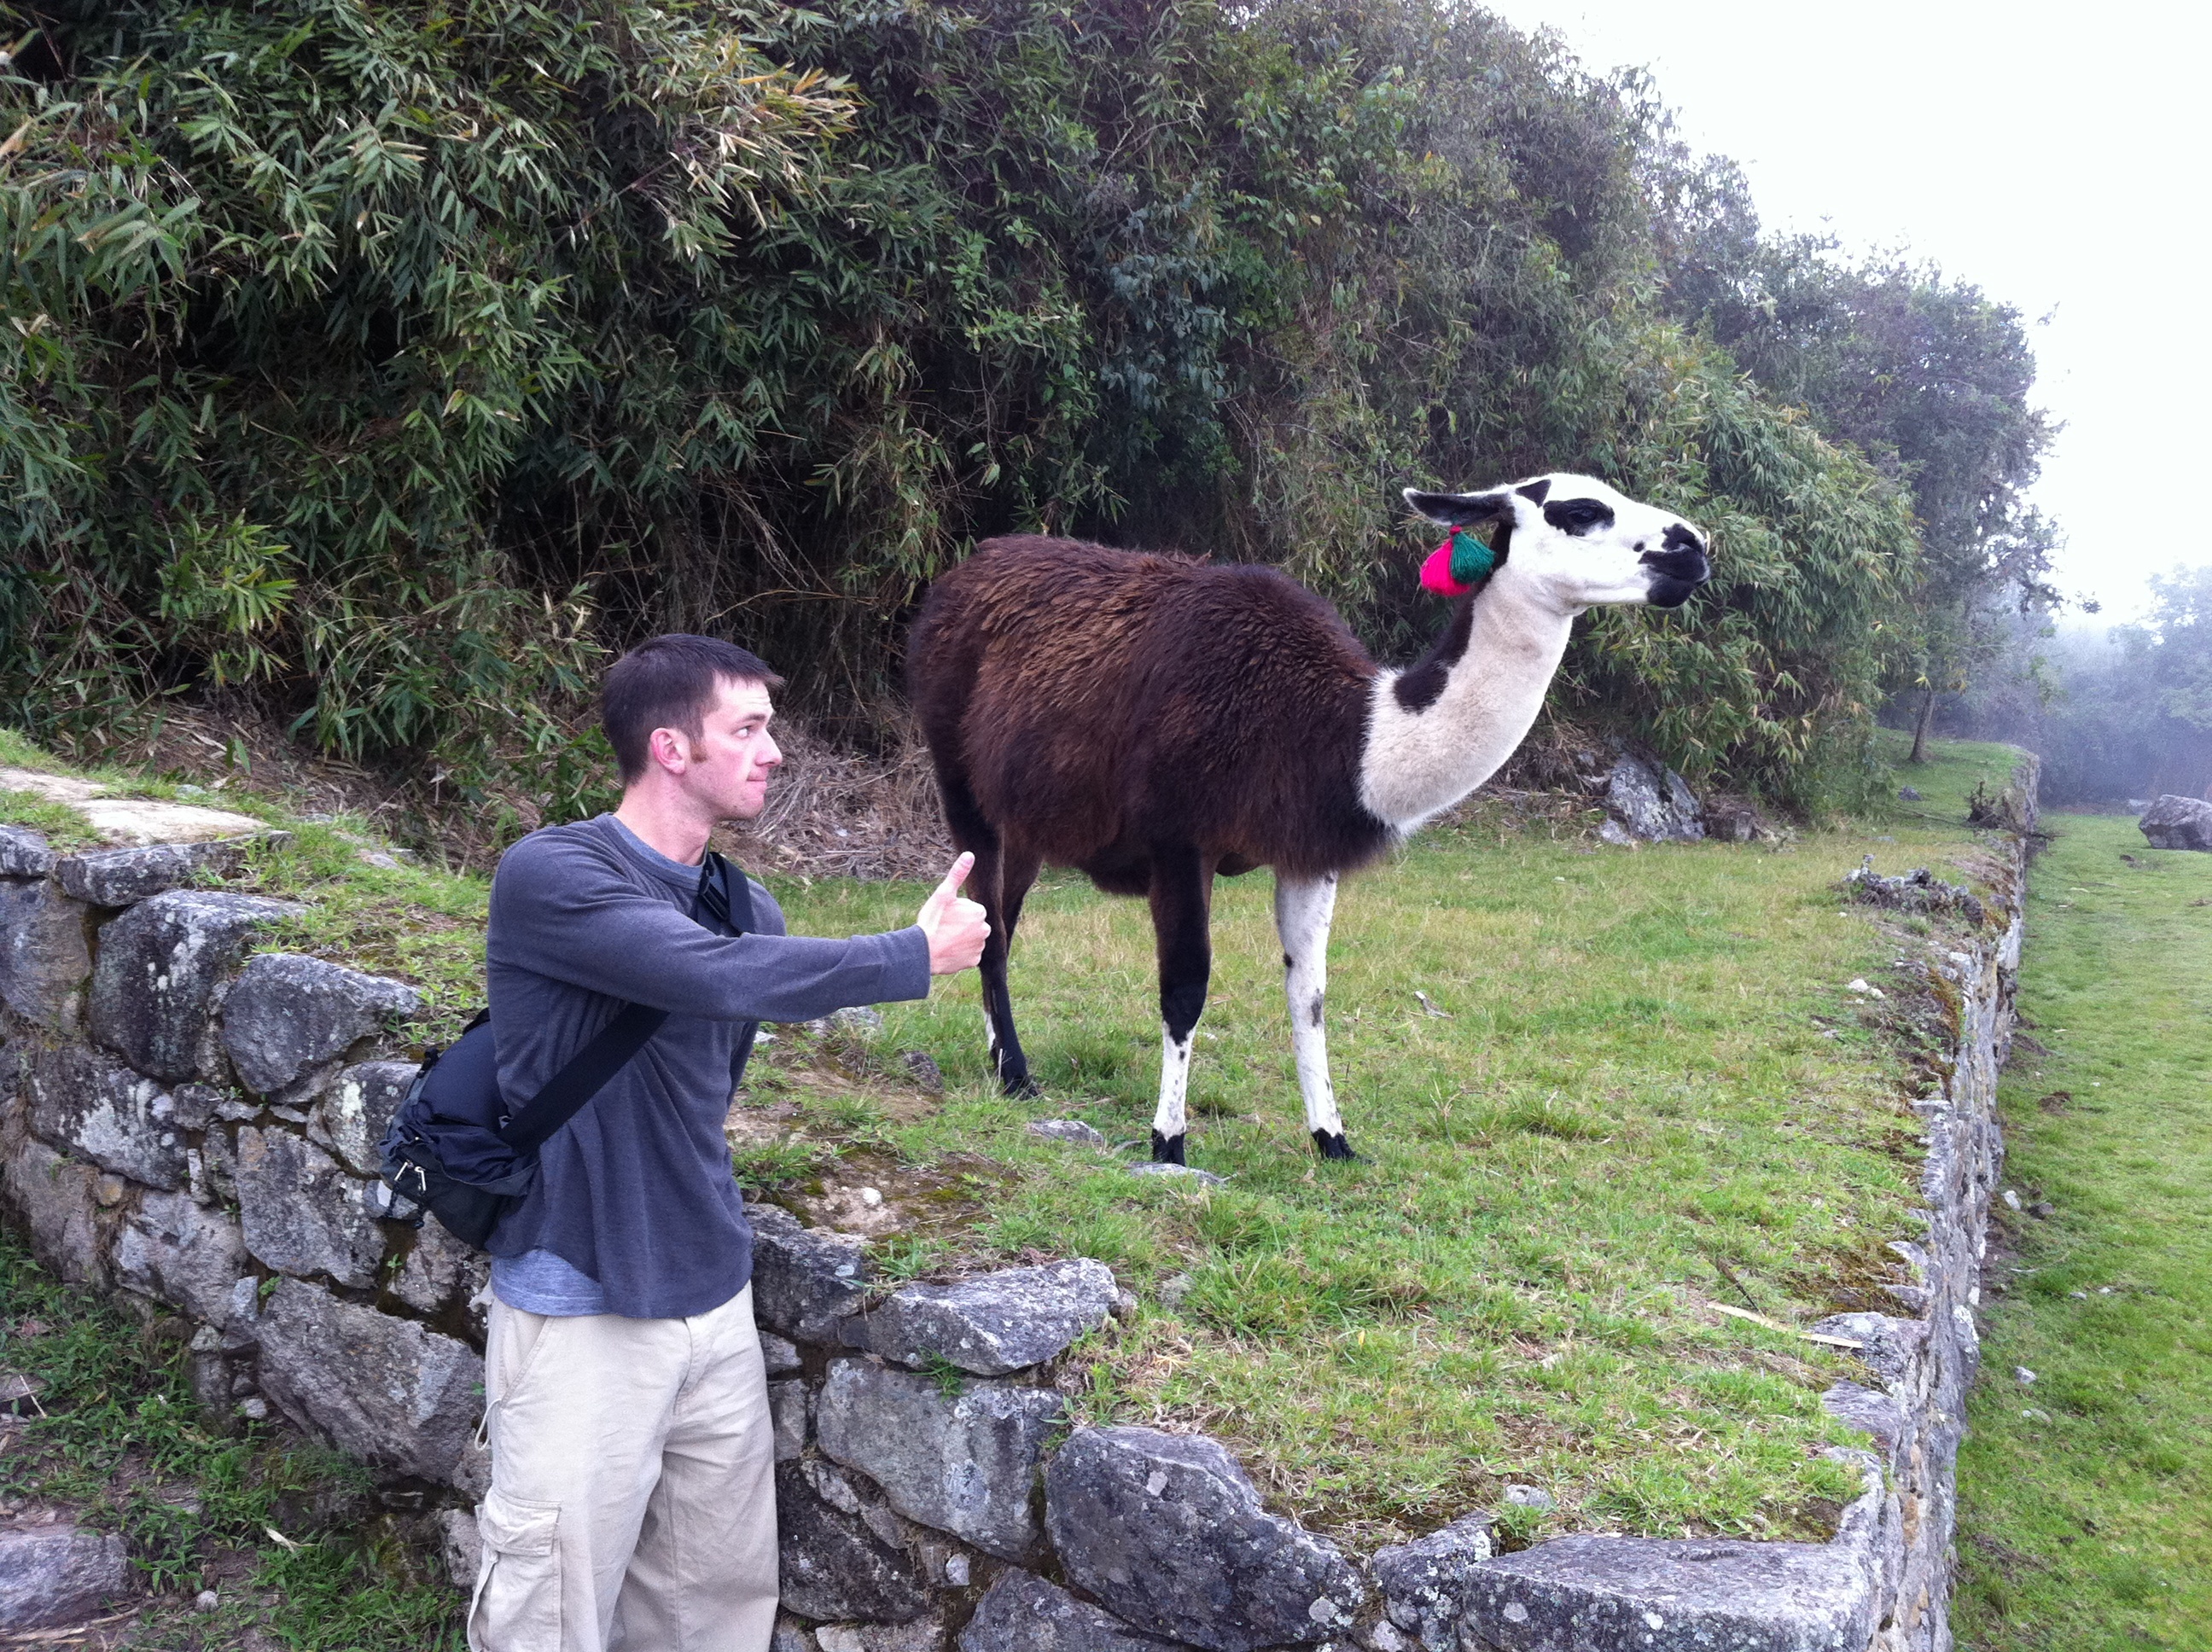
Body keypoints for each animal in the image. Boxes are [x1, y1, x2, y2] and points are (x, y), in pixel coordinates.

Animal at [906, 474, 1710, 1163]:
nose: (1693, 547)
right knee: (991, 921)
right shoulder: (1179, 836)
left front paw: (1333, 1139)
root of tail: (968, 567)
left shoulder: (1308, 852)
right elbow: (1186, 987)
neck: (1343, 731)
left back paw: (1003, 1062)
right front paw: (1169, 1142)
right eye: (1580, 510)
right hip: (959, 779)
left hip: (1029, 816)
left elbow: (1311, 996)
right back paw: (1017, 1076)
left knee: (998, 925)